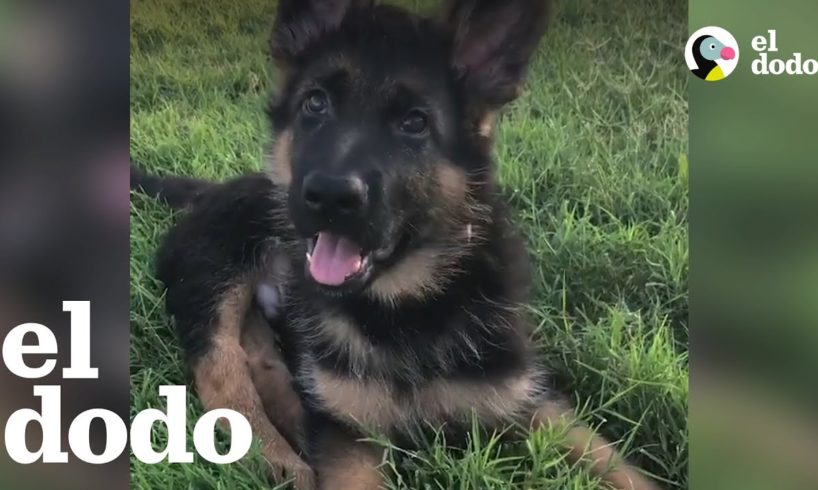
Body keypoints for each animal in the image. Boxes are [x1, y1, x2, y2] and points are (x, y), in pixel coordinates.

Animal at [132, 0, 656, 490]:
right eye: (315, 104)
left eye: (414, 123)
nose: (329, 196)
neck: (408, 303)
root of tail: (206, 191)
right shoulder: (348, 431)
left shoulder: (527, 398)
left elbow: (613, 461)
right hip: (219, 269)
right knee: (221, 371)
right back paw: (279, 458)